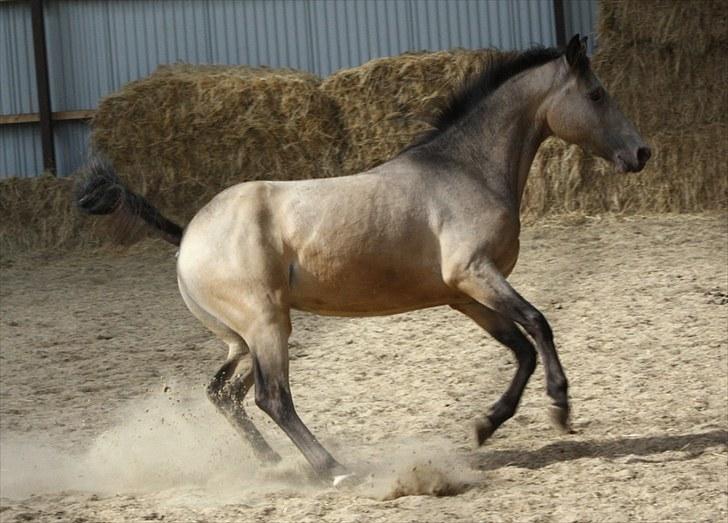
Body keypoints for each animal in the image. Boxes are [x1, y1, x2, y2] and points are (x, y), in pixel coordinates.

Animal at [78, 34, 648, 486]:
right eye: (596, 94)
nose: (641, 153)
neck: (465, 169)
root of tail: (189, 234)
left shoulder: (463, 296)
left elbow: (521, 348)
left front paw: (486, 425)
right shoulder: (474, 274)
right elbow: (539, 323)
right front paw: (560, 408)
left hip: (242, 339)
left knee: (224, 393)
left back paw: (274, 464)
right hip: (266, 325)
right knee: (271, 397)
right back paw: (332, 469)